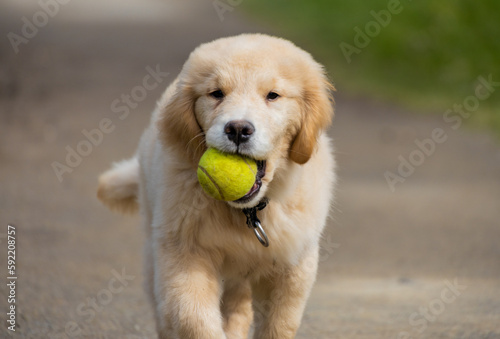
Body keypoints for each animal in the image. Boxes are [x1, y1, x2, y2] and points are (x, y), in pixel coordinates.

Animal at [97, 32, 336, 339]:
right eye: (216, 93)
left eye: (272, 95)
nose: (238, 129)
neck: (247, 213)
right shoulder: (185, 253)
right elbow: (194, 319)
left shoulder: (293, 266)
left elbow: (279, 325)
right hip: (155, 248)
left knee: (238, 306)